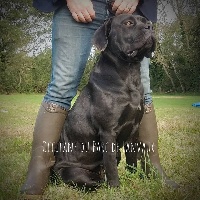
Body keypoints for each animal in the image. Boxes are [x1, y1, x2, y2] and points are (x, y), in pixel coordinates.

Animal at [53, 14, 156, 189]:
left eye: (146, 21)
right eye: (128, 23)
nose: (150, 26)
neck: (129, 73)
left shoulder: (134, 128)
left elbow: (132, 159)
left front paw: (133, 177)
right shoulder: (107, 131)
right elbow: (111, 165)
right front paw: (116, 187)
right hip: (75, 173)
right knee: (95, 182)